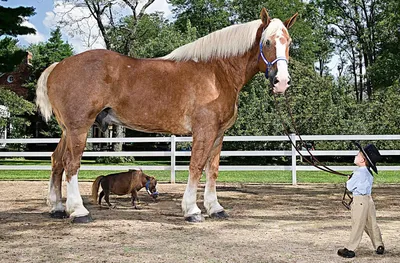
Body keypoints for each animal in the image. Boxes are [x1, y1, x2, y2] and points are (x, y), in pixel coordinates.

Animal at [36, 7, 296, 223]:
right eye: (267, 42)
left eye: (289, 42)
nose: (281, 81)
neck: (216, 73)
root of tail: (58, 66)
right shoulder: (204, 131)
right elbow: (196, 167)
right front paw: (192, 210)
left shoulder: (218, 134)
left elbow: (212, 170)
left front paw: (215, 208)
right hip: (79, 128)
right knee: (71, 164)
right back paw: (78, 211)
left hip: (67, 130)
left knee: (56, 161)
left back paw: (57, 208)